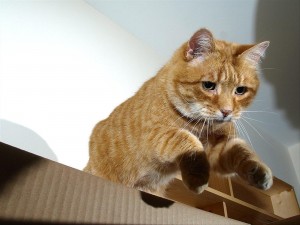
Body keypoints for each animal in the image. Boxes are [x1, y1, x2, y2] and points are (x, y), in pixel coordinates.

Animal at [84, 27, 272, 193]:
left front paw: (258, 172)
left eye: (240, 90)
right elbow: (186, 140)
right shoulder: (156, 134)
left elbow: (242, 152)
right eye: (208, 85)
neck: (202, 127)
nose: (227, 111)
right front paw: (198, 176)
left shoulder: (219, 149)